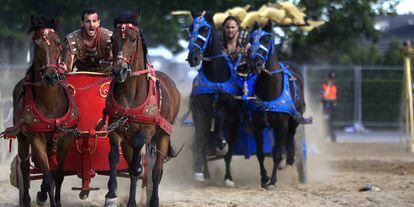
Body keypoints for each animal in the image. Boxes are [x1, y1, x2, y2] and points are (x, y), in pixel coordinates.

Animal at [11, 14, 77, 207]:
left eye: (58, 43)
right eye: (36, 44)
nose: (49, 76)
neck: (51, 103)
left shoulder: (66, 138)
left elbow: (58, 175)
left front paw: (56, 201)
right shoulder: (36, 139)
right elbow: (48, 178)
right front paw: (42, 197)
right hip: (23, 137)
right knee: (25, 167)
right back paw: (27, 199)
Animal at [102, 11, 180, 207]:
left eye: (132, 39)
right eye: (112, 39)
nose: (119, 71)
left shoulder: (147, 130)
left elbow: (138, 153)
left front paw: (138, 166)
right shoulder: (116, 130)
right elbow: (113, 156)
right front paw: (111, 194)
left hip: (163, 135)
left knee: (157, 170)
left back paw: (153, 199)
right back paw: (131, 200)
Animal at [186, 11, 244, 186]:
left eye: (205, 29)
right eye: (190, 29)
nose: (193, 57)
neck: (215, 78)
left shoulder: (227, 113)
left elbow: (219, 122)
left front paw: (221, 146)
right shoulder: (199, 112)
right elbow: (201, 141)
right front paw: (199, 172)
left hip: (235, 124)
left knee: (229, 149)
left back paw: (228, 178)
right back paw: (206, 174)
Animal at [244, 21, 312, 188]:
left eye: (266, 39)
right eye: (251, 39)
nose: (255, 64)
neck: (270, 88)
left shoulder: (282, 125)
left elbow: (276, 153)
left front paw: (273, 181)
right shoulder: (258, 126)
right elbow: (260, 153)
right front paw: (264, 178)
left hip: (294, 120)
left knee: (290, 138)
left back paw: (291, 157)